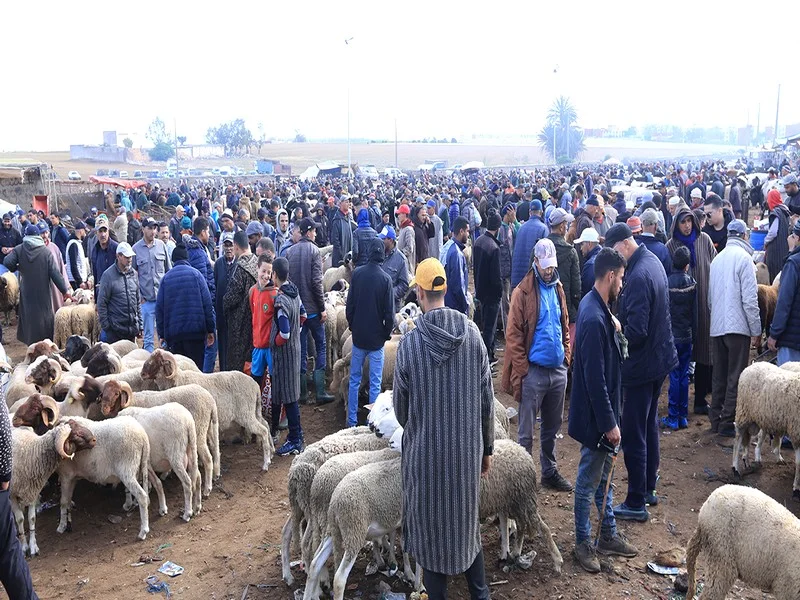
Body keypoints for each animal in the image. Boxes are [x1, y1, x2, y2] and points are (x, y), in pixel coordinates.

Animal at [10, 418, 96, 552]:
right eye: (77, 435)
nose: (94, 440)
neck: (31, 453)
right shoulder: (12, 495)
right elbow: (20, 519)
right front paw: (24, 546)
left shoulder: (32, 491)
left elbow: (32, 518)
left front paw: (33, 546)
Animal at [139, 350, 274, 472]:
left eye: (154, 361)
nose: (142, 374)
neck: (179, 379)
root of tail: (255, 386)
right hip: (253, 411)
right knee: (266, 425)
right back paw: (271, 452)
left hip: (245, 414)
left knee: (263, 430)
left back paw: (266, 463)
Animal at [736, 360, 800, 496]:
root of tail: (754, 364)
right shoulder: (796, 432)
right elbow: (799, 463)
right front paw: (796, 487)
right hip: (748, 411)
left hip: (770, 417)